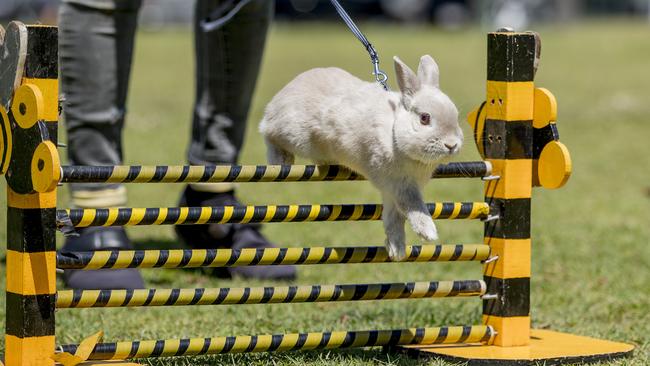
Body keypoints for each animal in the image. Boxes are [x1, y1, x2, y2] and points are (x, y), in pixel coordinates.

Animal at [258, 55, 460, 260]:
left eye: (457, 116)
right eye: (425, 118)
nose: (452, 145)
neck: (394, 132)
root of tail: (287, 90)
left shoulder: (391, 191)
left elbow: (394, 217)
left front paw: (396, 250)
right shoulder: (400, 184)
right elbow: (412, 206)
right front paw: (428, 232)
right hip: (295, 135)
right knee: (267, 130)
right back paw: (280, 160)